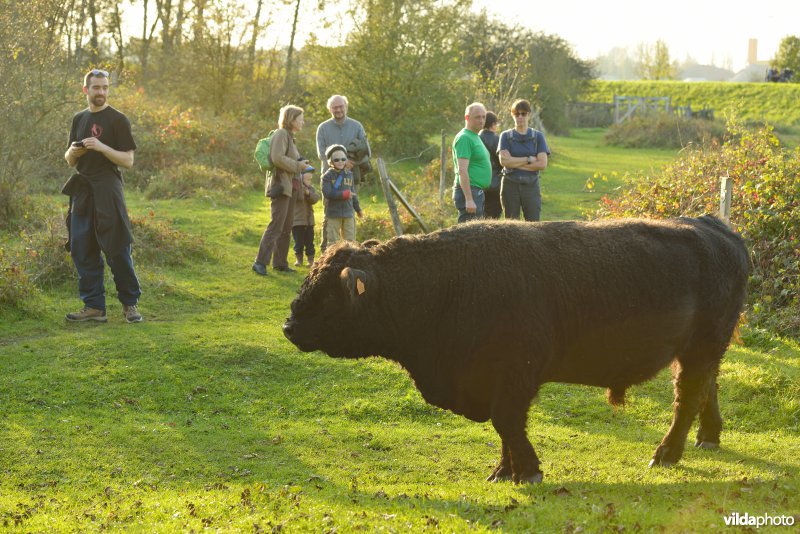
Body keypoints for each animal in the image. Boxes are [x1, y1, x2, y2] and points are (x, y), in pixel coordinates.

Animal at [282, 218, 752, 486]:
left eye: (328, 294)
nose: (289, 326)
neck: (440, 283)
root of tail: (717, 230)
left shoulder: (515, 376)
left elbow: (507, 422)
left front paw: (527, 471)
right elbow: (503, 429)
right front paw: (503, 472)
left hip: (701, 346)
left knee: (686, 396)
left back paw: (666, 455)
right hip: (697, 350)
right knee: (705, 387)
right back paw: (709, 437)